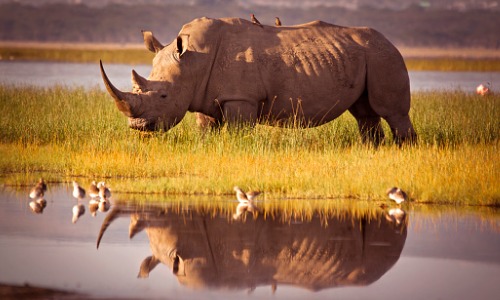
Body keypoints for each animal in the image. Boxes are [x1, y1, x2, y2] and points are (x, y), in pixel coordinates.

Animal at [99, 17, 416, 146]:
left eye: (163, 97)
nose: (138, 126)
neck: (193, 62)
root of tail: (390, 42)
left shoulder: (241, 98)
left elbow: (239, 131)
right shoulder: (203, 96)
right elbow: (206, 130)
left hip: (384, 56)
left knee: (393, 112)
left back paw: (404, 149)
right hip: (366, 56)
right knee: (365, 114)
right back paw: (372, 149)